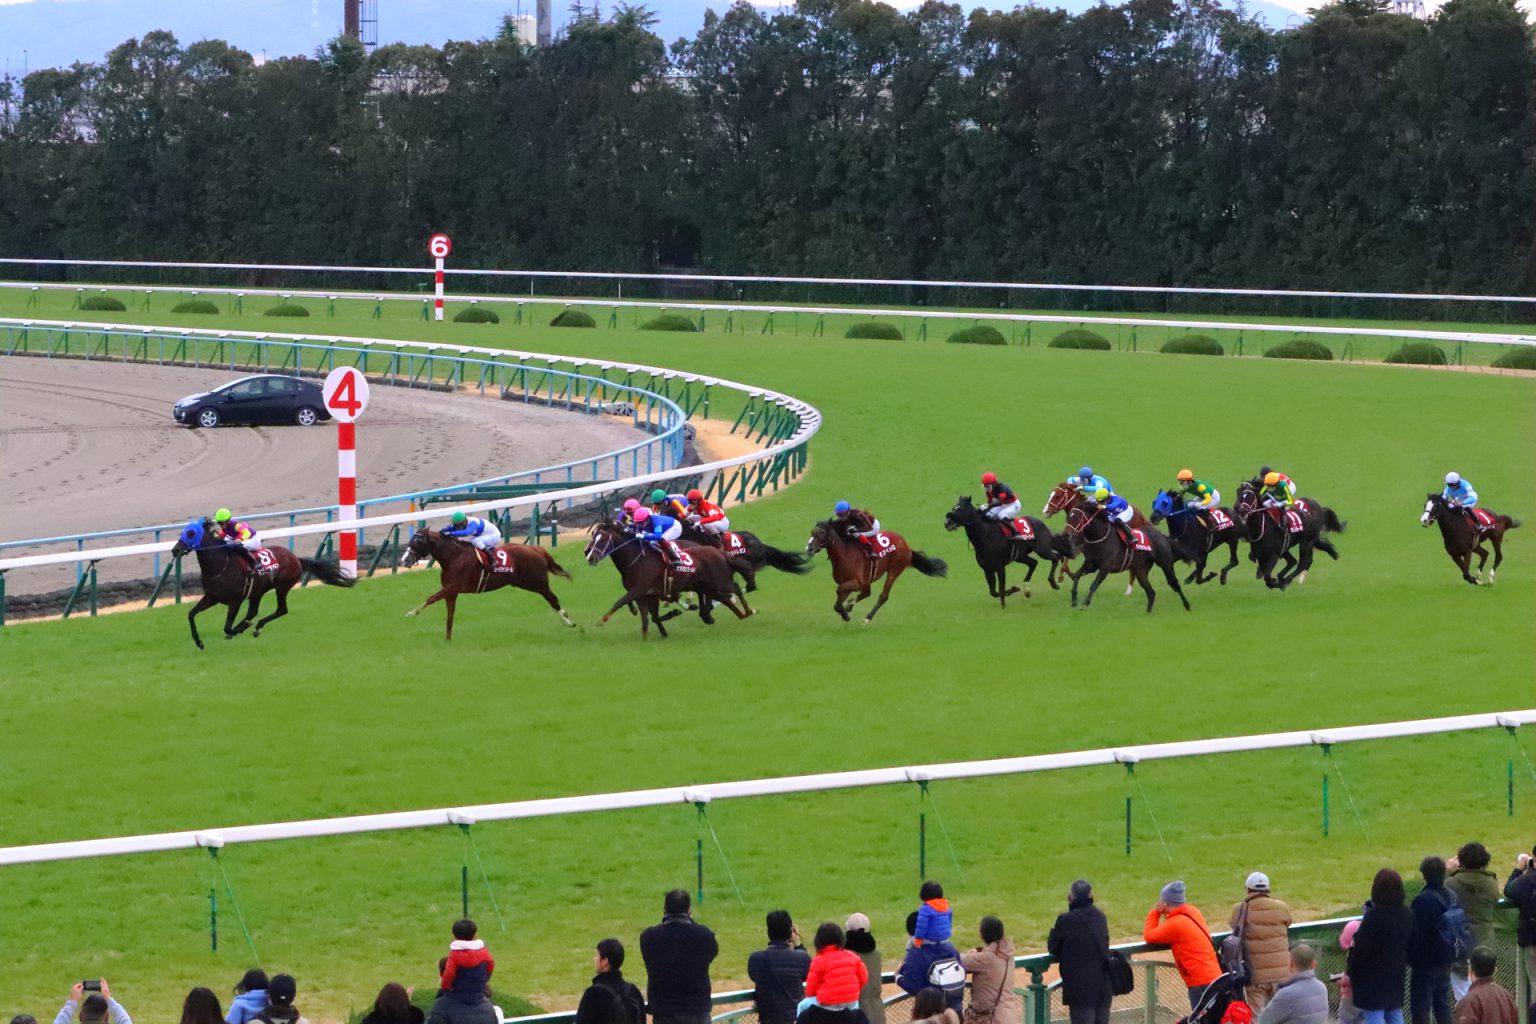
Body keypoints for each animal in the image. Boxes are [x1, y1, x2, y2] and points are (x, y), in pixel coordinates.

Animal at [170, 515, 353, 654]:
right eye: (184, 532)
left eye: (191, 533)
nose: (175, 550)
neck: (220, 565)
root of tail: (295, 558)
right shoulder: (212, 597)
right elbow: (191, 614)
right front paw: (199, 642)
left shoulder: (235, 601)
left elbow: (227, 628)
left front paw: (238, 629)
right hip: (257, 592)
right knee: (253, 611)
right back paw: (250, 625)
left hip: (282, 587)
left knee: (281, 610)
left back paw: (255, 627)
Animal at [402, 528, 577, 641]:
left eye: (417, 542)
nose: (405, 560)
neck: (454, 557)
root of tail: (537, 549)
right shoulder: (451, 592)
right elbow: (450, 617)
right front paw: (447, 640)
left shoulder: (453, 587)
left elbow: (431, 598)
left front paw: (411, 613)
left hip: (538, 584)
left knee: (553, 599)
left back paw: (569, 621)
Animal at [583, 521, 752, 641]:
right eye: (593, 538)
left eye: (602, 540)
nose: (589, 557)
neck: (636, 560)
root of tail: (719, 552)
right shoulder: (645, 595)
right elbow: (648, 617)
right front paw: (647, 638)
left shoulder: (639, 590)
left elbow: (620, 602)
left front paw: (601, 621)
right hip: (706, 585)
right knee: (722, 598)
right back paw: (725, 615)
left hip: (719, 581)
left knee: (735, 588)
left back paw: (747, 611)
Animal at [804, 521, 946, 626]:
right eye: (811, 532)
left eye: (821, 532)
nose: (809, 548)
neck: (844, 554)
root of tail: (905, 543)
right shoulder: (851, 582)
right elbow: (838, 601)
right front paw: (845, 611)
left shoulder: (857, 582)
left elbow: (839, 592)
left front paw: (845, 614)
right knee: (867, 593)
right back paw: (850, 606)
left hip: (894, 570)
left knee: (883, 595)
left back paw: (867, 617)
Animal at [933, 494, 1069, 604]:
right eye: (953, 508)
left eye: (960, 509)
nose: (947, 522)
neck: (984, 535)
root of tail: (1042, 524)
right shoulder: (987, 569)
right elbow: (994, 592)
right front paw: (1013, 589)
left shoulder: (999, 567)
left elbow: (1001, 589)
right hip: (1020, 556)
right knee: (1034, 563)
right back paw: (1027, 589)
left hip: (1042, 549)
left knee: (1056, 557)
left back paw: (1054, 583)